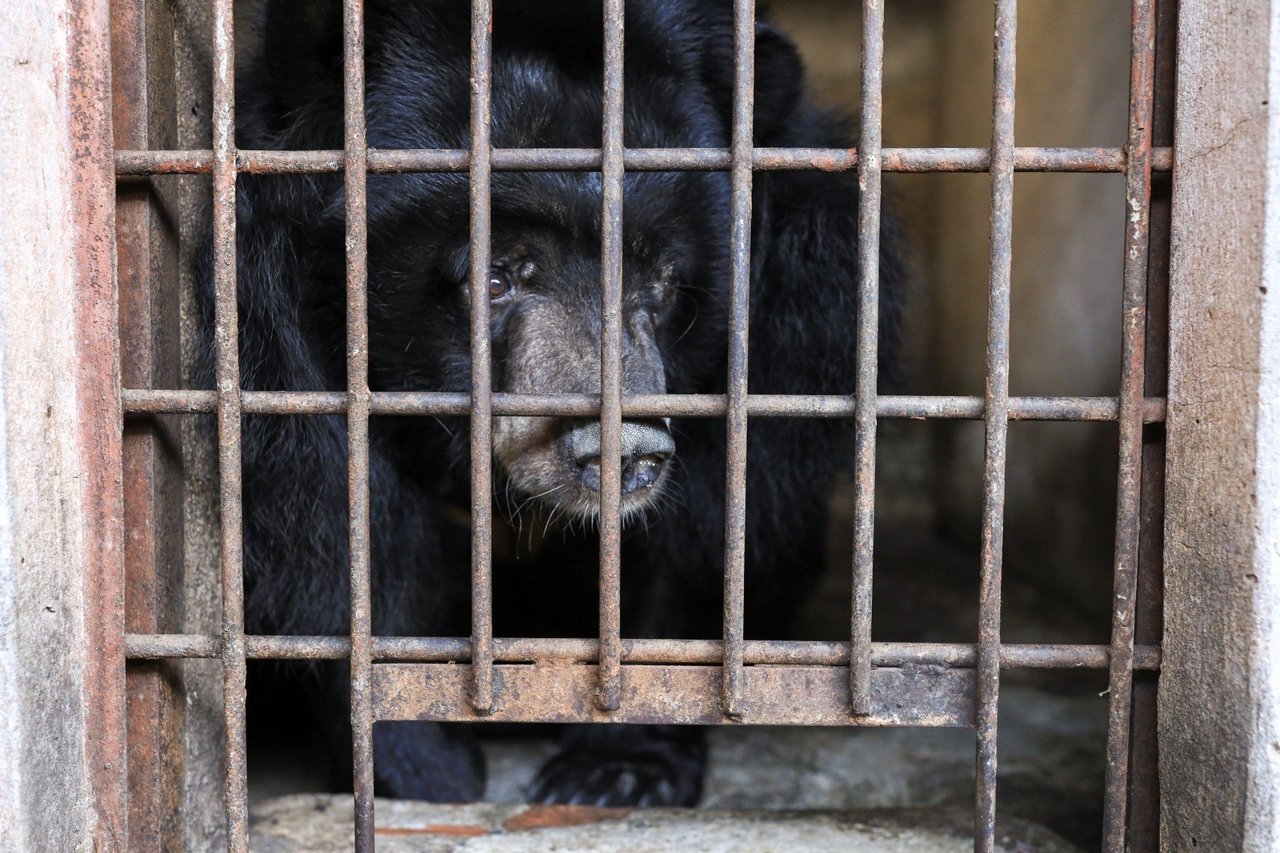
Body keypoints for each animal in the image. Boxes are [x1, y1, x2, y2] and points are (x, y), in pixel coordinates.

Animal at [212, 0, 901, 804]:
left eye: (662, 278)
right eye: (496, 276)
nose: (626, 451)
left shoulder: (792, 323)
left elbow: (702, 539)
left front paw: (617, 772)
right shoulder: (273, 343)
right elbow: (342, 539)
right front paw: (421, 771)